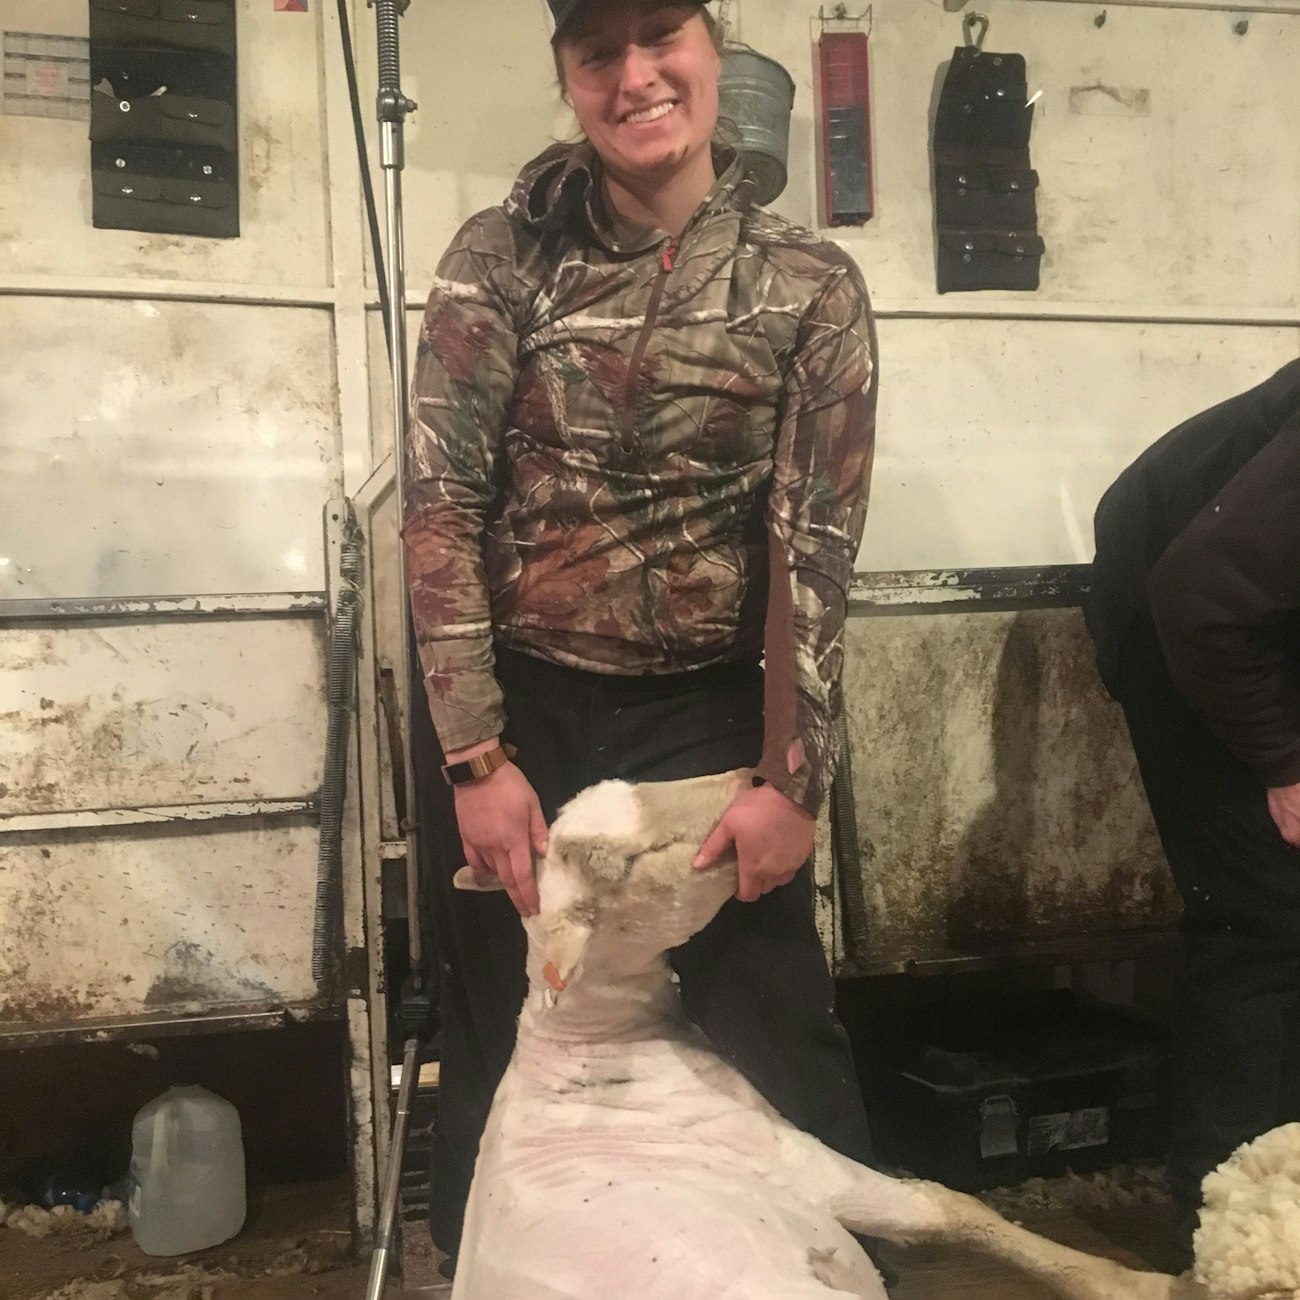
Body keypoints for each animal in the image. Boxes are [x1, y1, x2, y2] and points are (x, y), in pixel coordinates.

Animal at [449, 769, 1216, 1300]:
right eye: (633, 861)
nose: (754, 779)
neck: (593, 1035)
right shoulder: (796, 1159)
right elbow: (947, 1207)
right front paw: (1148, 1284)